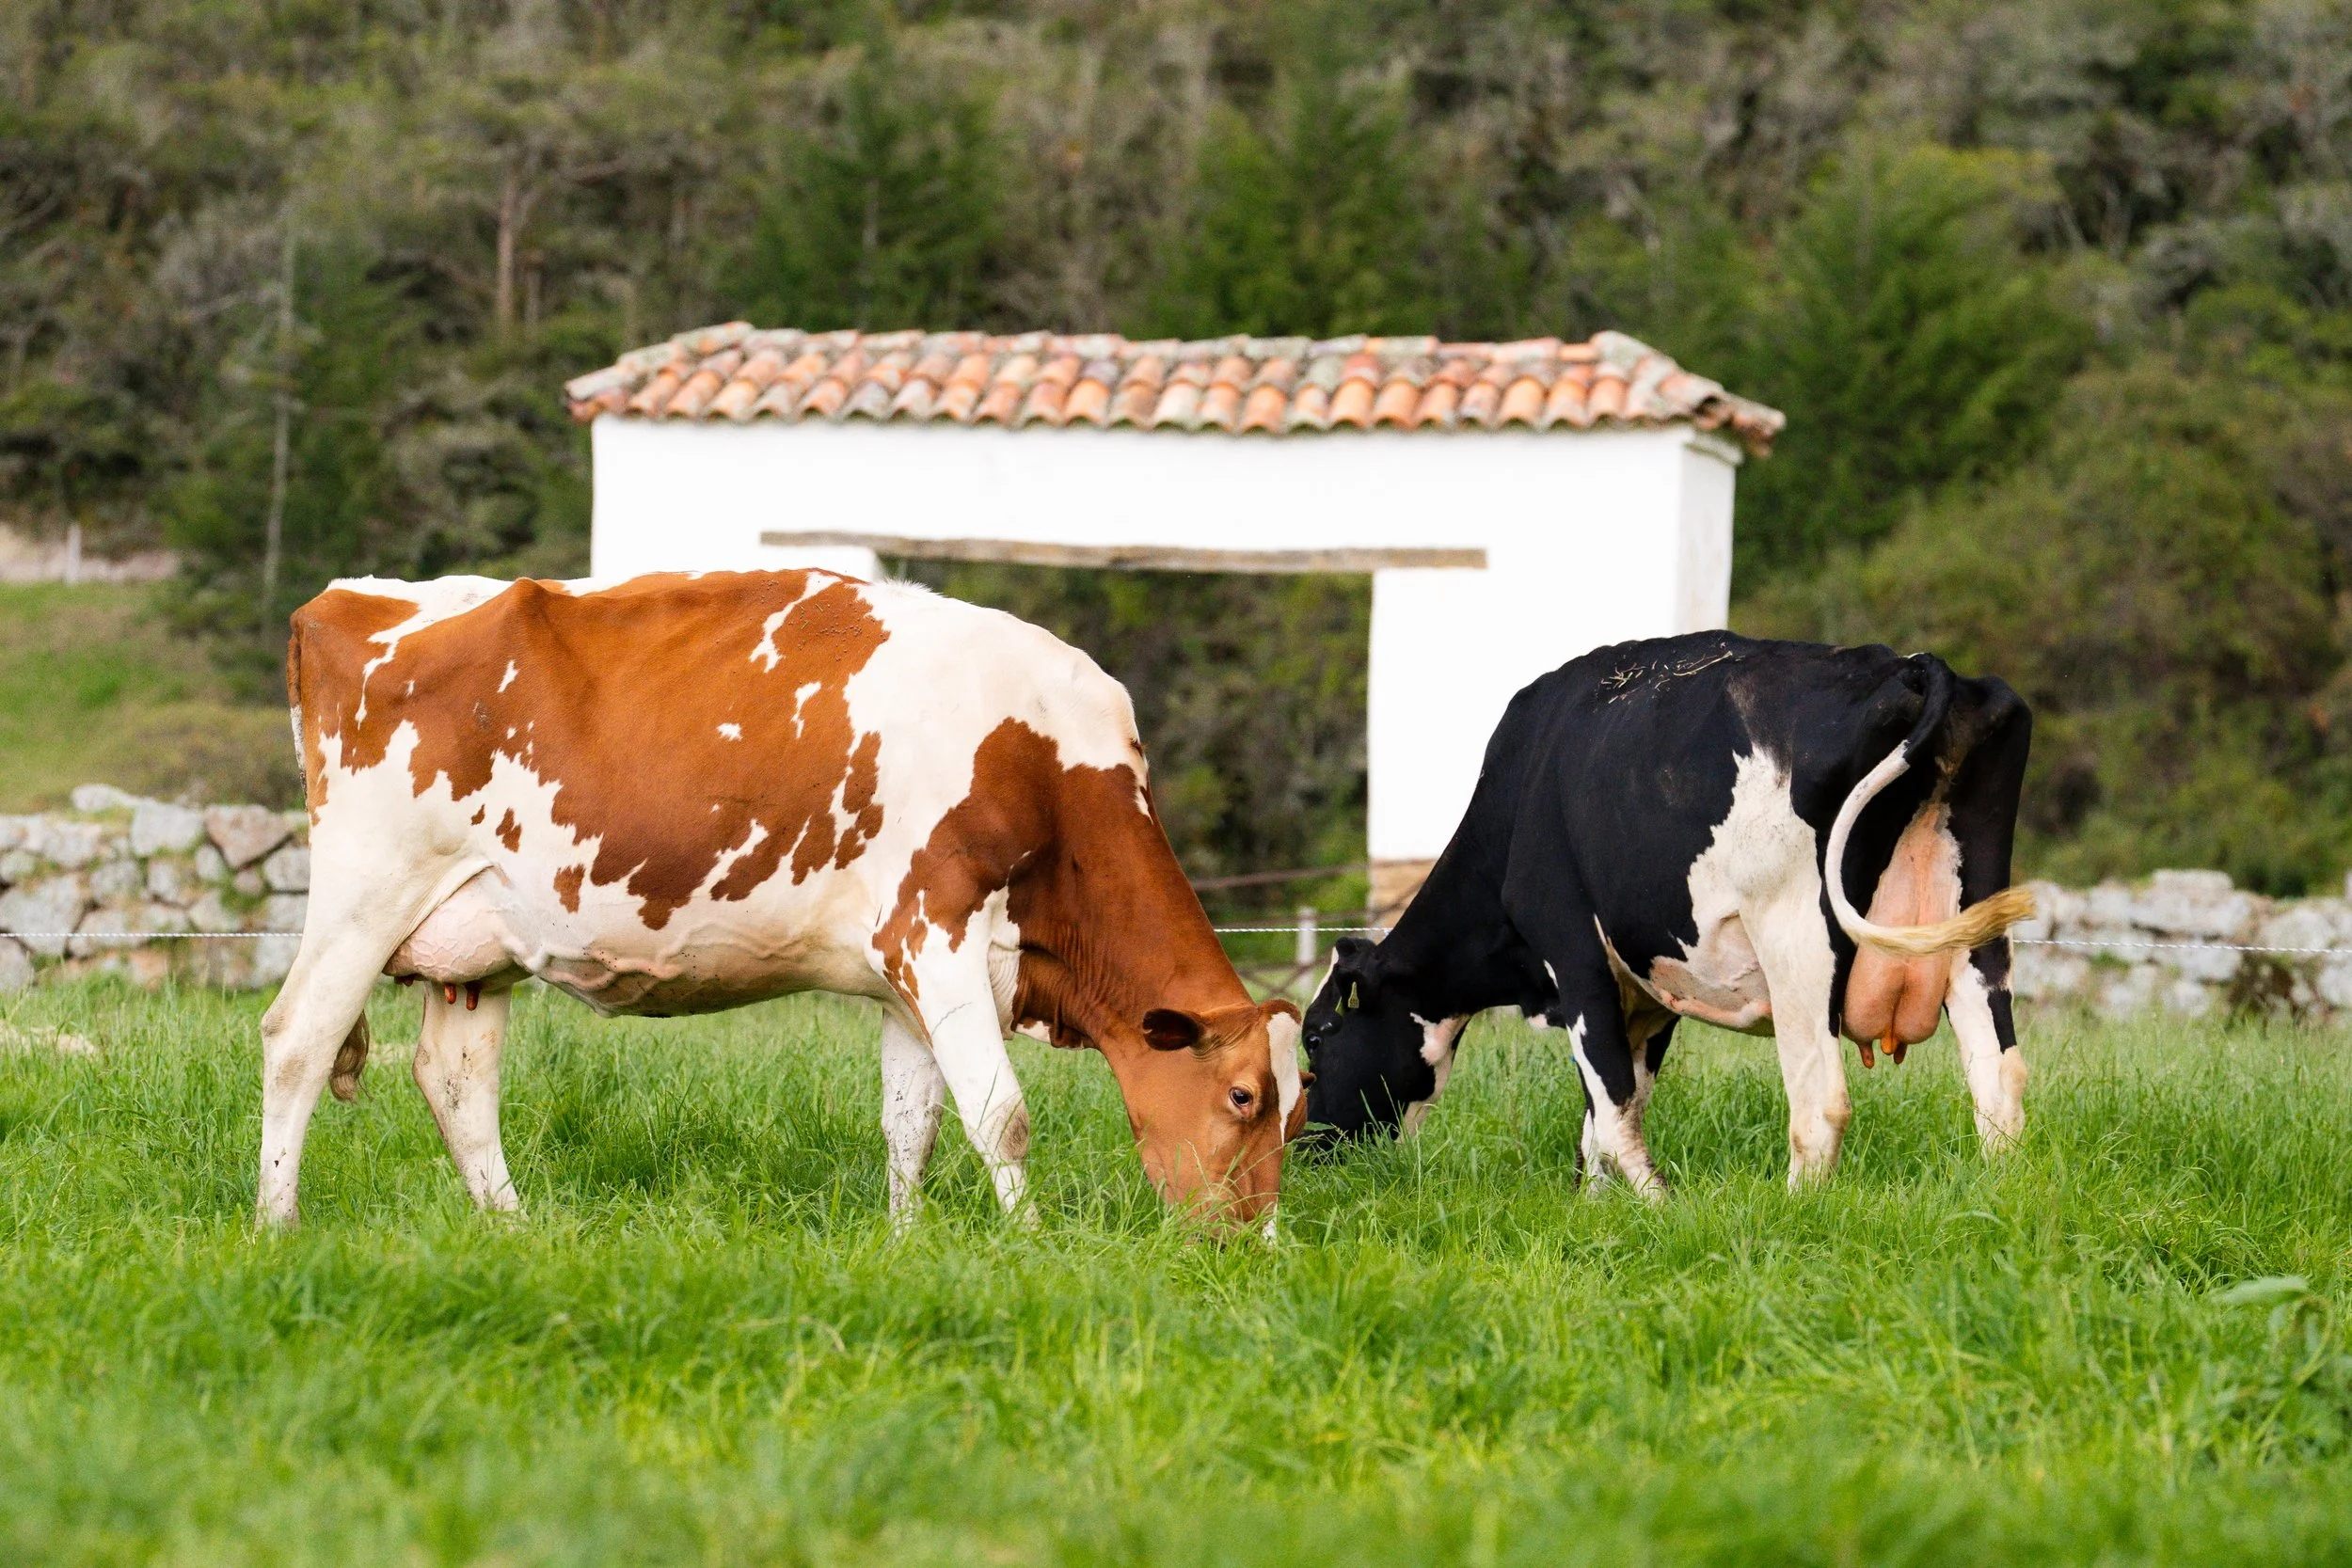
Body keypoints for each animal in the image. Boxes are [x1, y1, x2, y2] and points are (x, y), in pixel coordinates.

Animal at [259, 569, 1303, 1233]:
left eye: (1297, 1114)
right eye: (1243, 1095)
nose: (1250, 1245)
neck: (1047, 762)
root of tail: (345, 599)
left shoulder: (905, 978)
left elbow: (912, 1122)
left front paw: (907, 1242)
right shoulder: (936, 930)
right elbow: (999, 1112)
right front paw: (1035, 1246)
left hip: (477, 943)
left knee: (457, 1078)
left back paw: (514, 1228)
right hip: (366, 893)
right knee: (297, 1039)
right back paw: (278, 1223)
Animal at [1301, 631, 2033, 1190]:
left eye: (1316, 1038)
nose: (1306, 1151)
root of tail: (1909, 663)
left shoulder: (1574, 953)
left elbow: (1611, 1109)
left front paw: (1657, 1207)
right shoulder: (1647, 991)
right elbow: (1609, 1110)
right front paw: (1595, 1210)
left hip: (1795, 934)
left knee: (1820, 1104)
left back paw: (1793, 1211)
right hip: (1974, 933)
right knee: (1999, 1082)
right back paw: (1996, 1199)